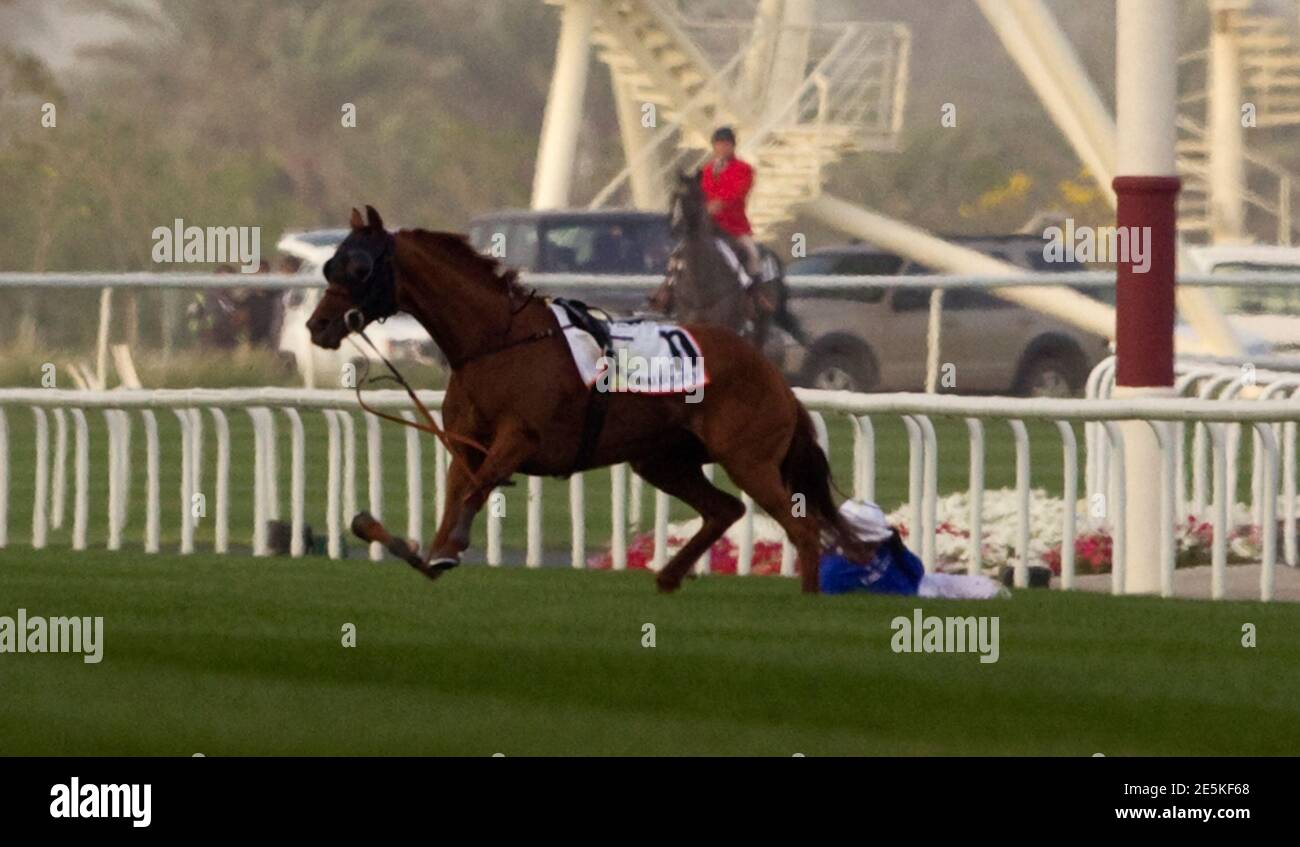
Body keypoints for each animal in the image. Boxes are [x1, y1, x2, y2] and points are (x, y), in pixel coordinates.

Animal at [307, 206, 860, 594]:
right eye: (331, 264)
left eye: (359, 267)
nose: (318, 325)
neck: (497, 342)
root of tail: (773, 372)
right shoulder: (466, 442)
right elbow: (457, 494)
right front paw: (419, 546)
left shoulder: (520, 438)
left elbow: (479, 488)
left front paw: (446, 550)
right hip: (662, 459)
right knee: (724, 509)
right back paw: (669, 575)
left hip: (749, 458)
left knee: (801, 530)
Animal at [649, 171, 806, 351]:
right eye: (673, 197)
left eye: (694, 196)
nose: (675, 228)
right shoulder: (691, 322)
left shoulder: (725, 324)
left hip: (761, 322)